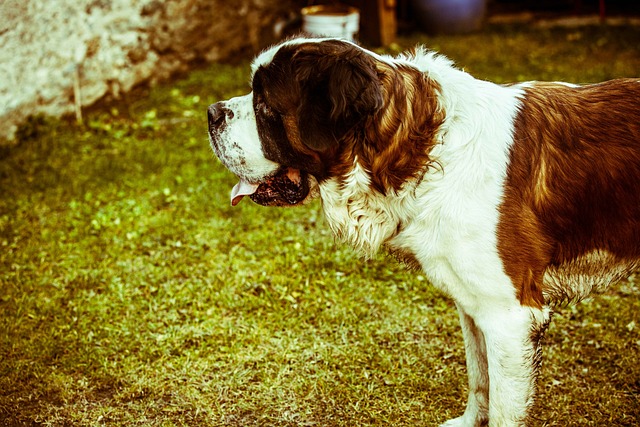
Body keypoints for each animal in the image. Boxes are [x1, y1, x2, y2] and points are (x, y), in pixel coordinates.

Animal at [208, 37, 636, 427]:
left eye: (265, 106)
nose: (212, 113)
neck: (425, 151)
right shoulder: (475, 307)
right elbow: (479, 377)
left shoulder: (510, 317)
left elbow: (502, 406)